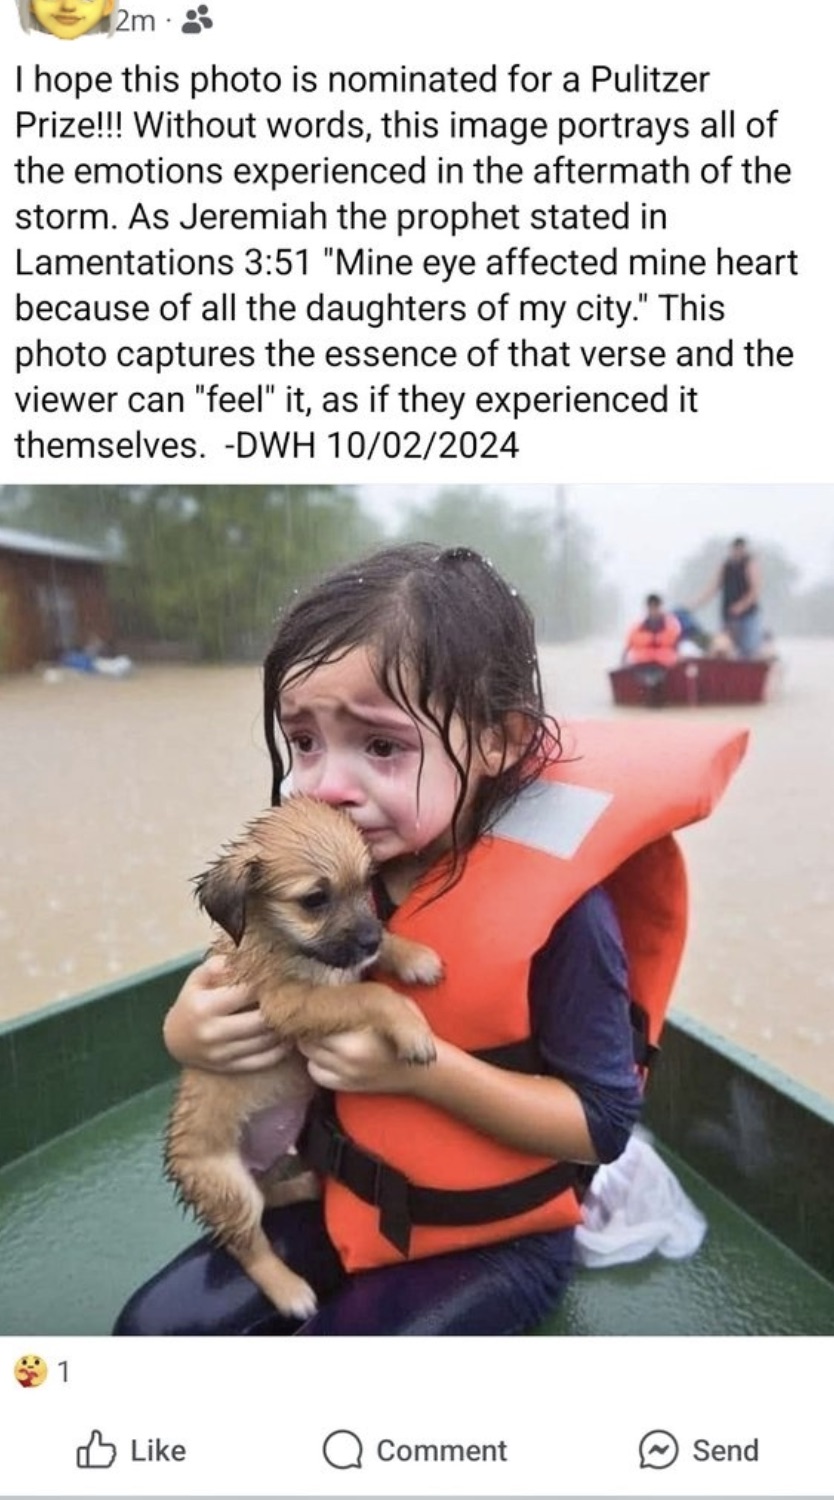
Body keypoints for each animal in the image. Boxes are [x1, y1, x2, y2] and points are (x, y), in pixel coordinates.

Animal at [168, 798, 444, 1314]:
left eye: (367, 882)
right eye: (315, 899)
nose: (370, 940)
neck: (281, 940)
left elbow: (369, 966)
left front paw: (413, 956)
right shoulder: (289, 1002)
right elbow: (370, 995)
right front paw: (412, 1028)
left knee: (270, 1197)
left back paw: (309, 1184)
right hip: (227, 1185)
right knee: (246, 1243)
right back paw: (290, 1290)